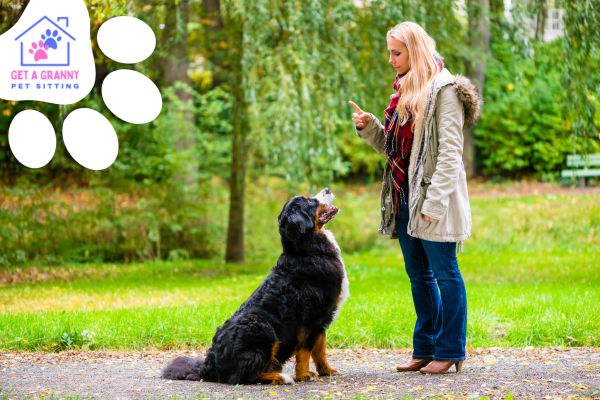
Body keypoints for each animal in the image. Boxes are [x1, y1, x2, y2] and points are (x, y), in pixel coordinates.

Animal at [162, 189, 350, 386]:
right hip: (263, 327)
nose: (328, 189)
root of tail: (209, 366)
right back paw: (281, 377)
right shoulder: (310, 318)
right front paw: (304, 375)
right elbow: (305, 351)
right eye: (310, 201)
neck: (307, 250)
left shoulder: (322, 318)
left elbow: (320, 349)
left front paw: (327, 371)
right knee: (245, 376)